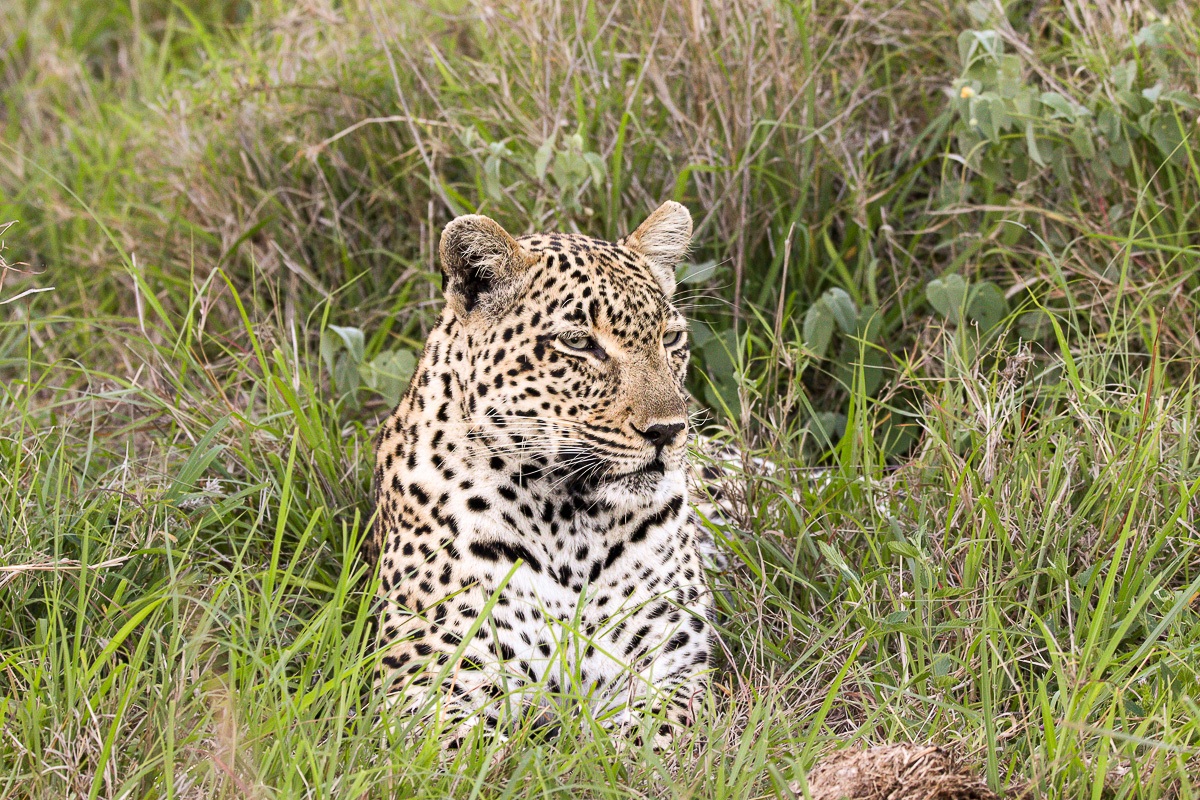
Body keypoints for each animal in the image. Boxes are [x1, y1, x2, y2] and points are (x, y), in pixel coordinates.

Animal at [367, 201, 715, 747]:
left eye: (672, 338)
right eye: (578, 343)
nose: (668, 430)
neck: (568, 520)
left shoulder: (672, 670)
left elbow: (642, 747)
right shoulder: (429, 681)